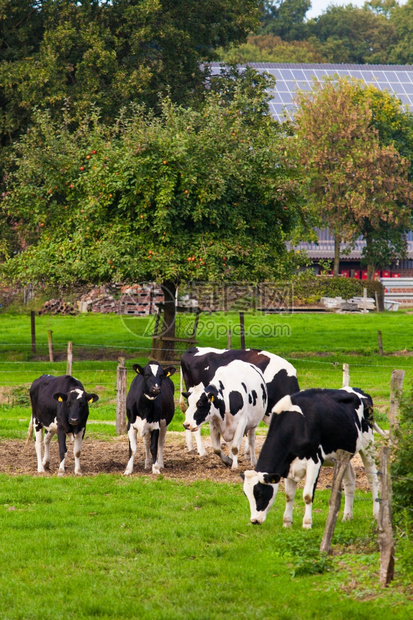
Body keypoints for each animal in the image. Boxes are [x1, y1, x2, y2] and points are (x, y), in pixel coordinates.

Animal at [241, 388, 380, 528]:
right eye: (246, 494)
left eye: (259, 493)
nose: (254, 521)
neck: (297, 425)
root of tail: (359, 391)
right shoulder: (288, 465)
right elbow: (289, 495)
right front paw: (287, 522)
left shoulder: (314, 462)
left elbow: (307, 495)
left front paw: (307, 523)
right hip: (344, 454)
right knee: (350, 480)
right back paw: (347, 517)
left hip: (368, 445)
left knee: (372, 478)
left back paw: (376, 514)